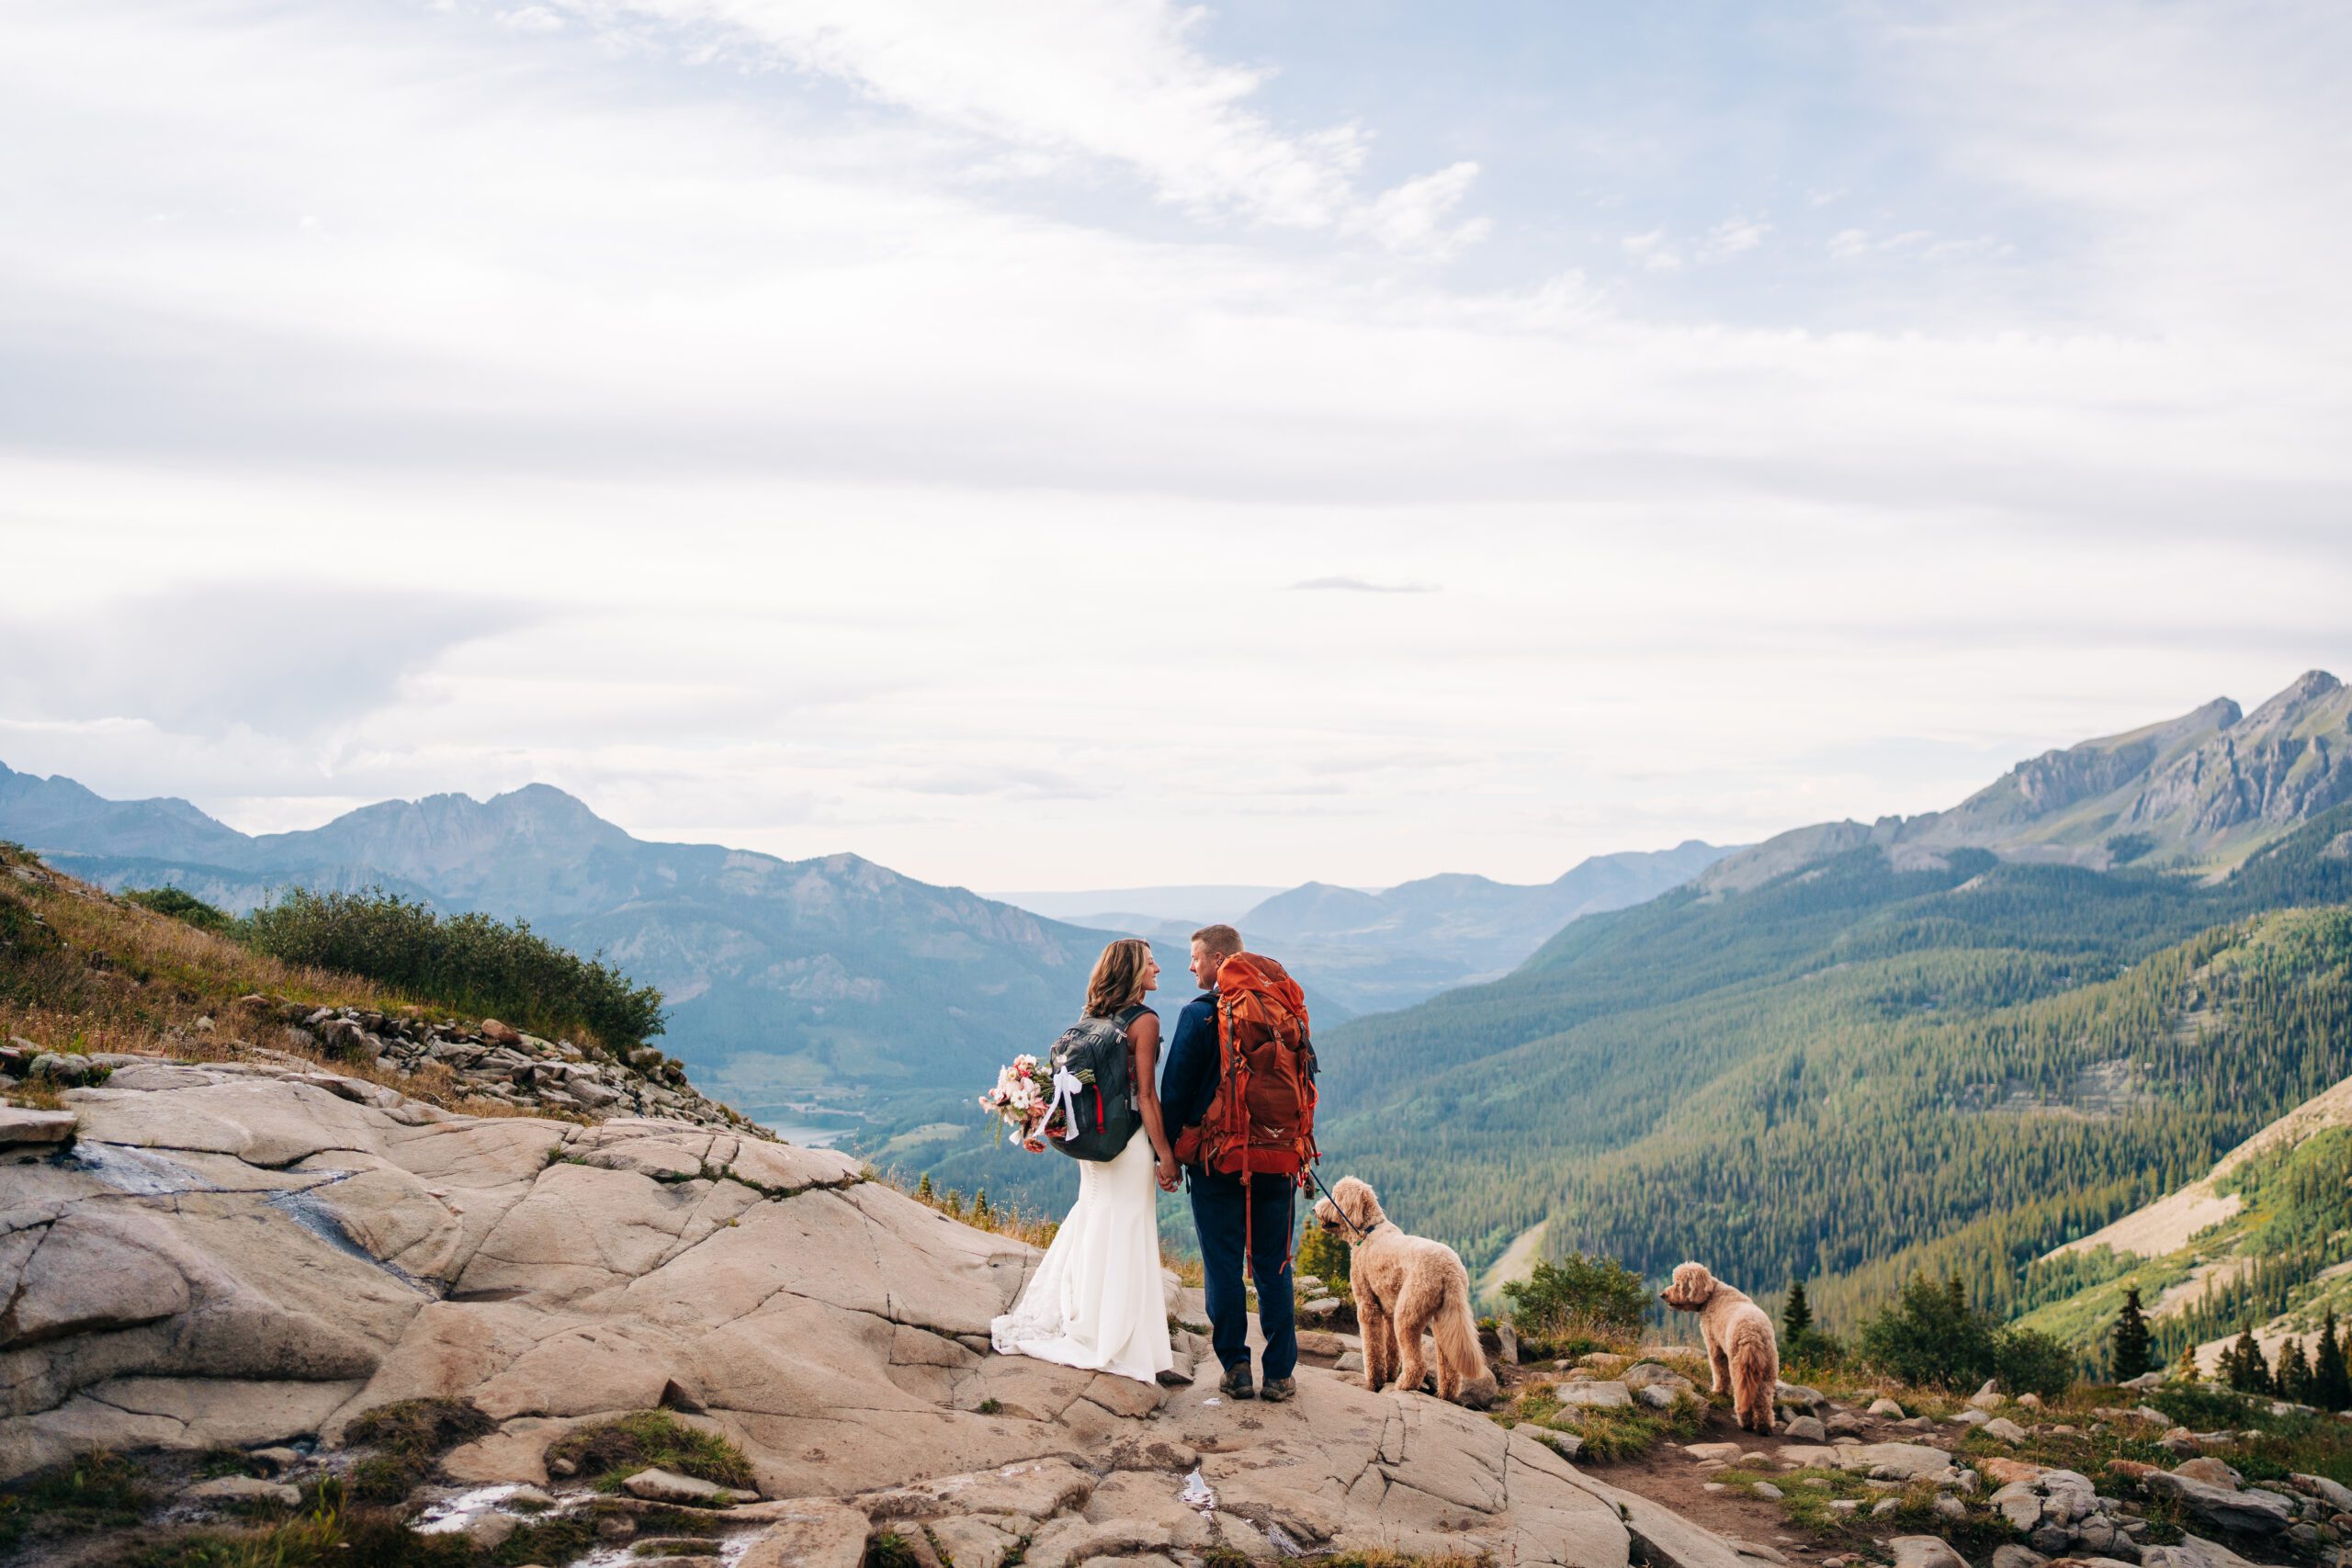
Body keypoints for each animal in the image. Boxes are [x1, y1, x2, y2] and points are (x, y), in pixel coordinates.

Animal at [1317, 1175, 1496, 1410]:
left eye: (1335, 1196)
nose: (1314, 1208)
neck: (1368, 1230)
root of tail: (1449, 1270)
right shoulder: (1388, 1309)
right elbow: (1390, 1349)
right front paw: (1389, 1375)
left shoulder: (1367, 1305)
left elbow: (1373, 1348)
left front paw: (1374, 1382)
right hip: (1444, 1318)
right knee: (1449, 1367)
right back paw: (1444, 1395)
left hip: (1408, 1312)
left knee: (1417, 1363)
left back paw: (1403, 1385)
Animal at [1656, 1259, 1778, 1438]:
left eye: (1678, 1283)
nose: (1662, 1295)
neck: (1711, 1296)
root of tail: (1753, 1335)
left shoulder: (1714, 1345)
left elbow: (1719, 1371)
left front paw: (1718, 1391)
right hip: (1769, 1368)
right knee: (1764, 1399)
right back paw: (1764, 1427)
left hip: (1739, 1366)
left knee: (1742, 1395)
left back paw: (1745, 1422)